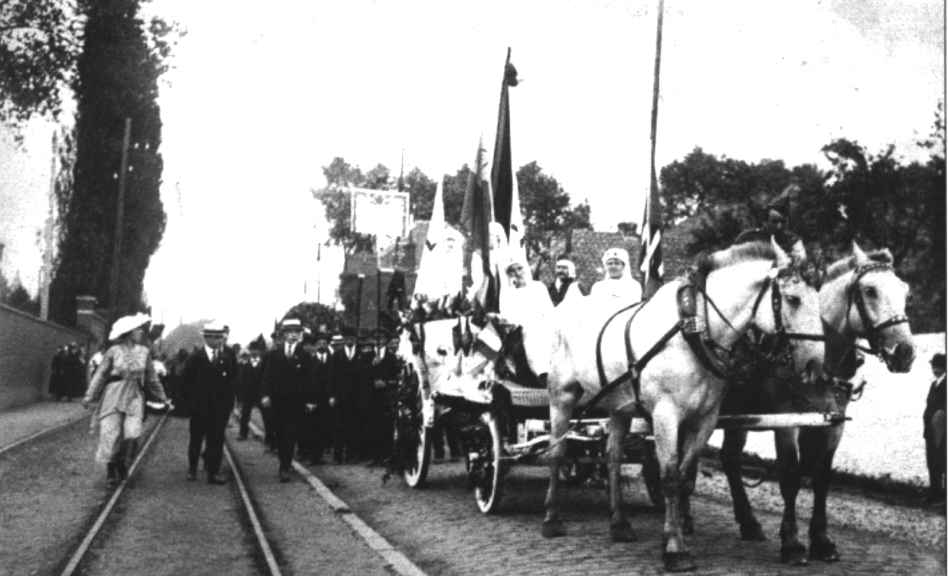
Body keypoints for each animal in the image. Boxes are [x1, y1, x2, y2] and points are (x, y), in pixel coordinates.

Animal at [544, 238, 824, 572]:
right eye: (793, 299)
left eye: (819, 298)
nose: (815, 365)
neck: (694, 328)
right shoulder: (666, 415)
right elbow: (669, 477)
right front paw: (675, 549)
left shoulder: (705, 419)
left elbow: (684, 475)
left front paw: (675, 534)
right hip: (562, 396)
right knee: (557, 452)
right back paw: (552, 518)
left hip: (619, 406)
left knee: (612, 457)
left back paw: (620, 524)